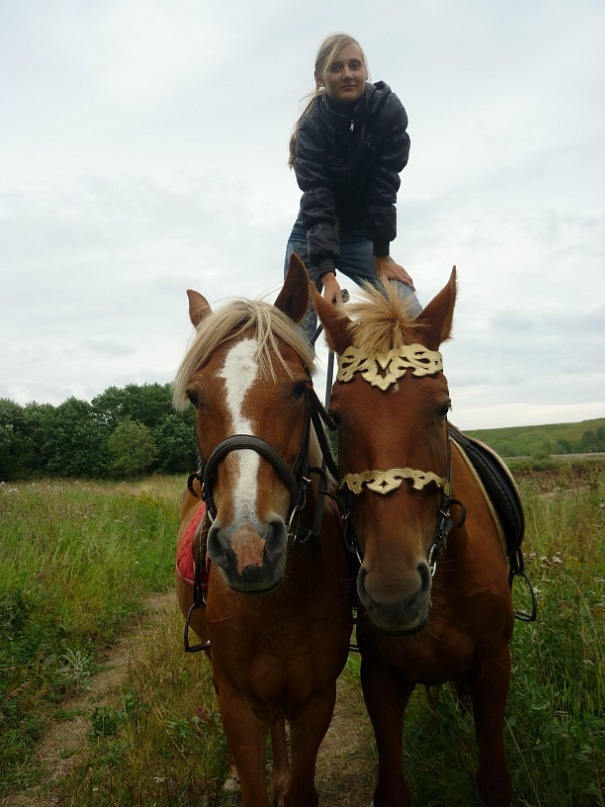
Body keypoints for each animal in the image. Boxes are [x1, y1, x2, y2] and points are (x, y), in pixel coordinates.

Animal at [173, 254, 353, 807]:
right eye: (195, 397)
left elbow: (300, 787)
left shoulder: (317, 700)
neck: (278, 602)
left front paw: (286, 781)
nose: (247, 549)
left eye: (299, 388)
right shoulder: (237, 700)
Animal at [313, 268, 517, 807]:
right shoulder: (381, 680)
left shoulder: (493, 668)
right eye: (335, 417)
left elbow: (494, 779)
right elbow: (392, 789)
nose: (394, 593)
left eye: (442, 406)